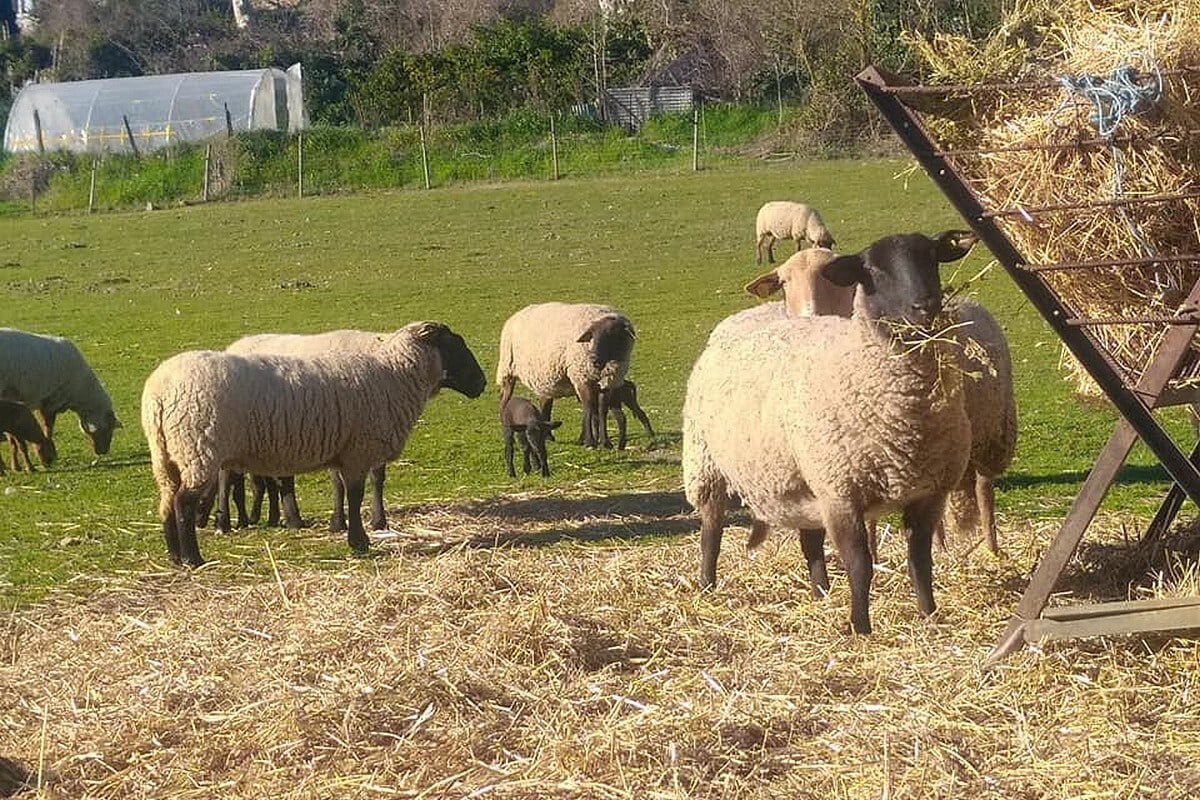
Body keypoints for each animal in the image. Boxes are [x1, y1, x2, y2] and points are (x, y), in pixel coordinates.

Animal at [141, 321, 487, 566]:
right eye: (456, 346)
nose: (482, 384)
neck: (395, 372)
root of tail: (159, 393)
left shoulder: (345, 450)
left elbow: (348, 490)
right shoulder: (358, 449)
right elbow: (355, 495)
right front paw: (359, 542)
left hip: (167, 453)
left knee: (167, 501)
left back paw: (174, 556)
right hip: (199, 448)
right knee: (184, 502)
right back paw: (192, 558)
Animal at [496, 302, 636, 449]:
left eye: (612, 336)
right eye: (592, 336)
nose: (593, 359)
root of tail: (518, 314)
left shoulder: (608, 382)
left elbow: (602, 410)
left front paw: (605, 442)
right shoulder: (582, 378)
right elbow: (589, 408)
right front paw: (590, 442)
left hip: (545, 378)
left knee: (545, 404)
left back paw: (548, 436)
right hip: (507, 370)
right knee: (503, 402)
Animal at [683, 231, 978, 634]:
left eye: (933, 256)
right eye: (872, 270)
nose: (925, 305)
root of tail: (751, 312)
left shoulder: (928, 492)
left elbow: (920, 560)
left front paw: (928, 614)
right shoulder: (841, 493)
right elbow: (860, 565)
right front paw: (860, 627)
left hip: (800, 478)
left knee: (810, 542)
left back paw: (820, 593)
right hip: (708, 464)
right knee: (710, 533)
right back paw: (707, 586)